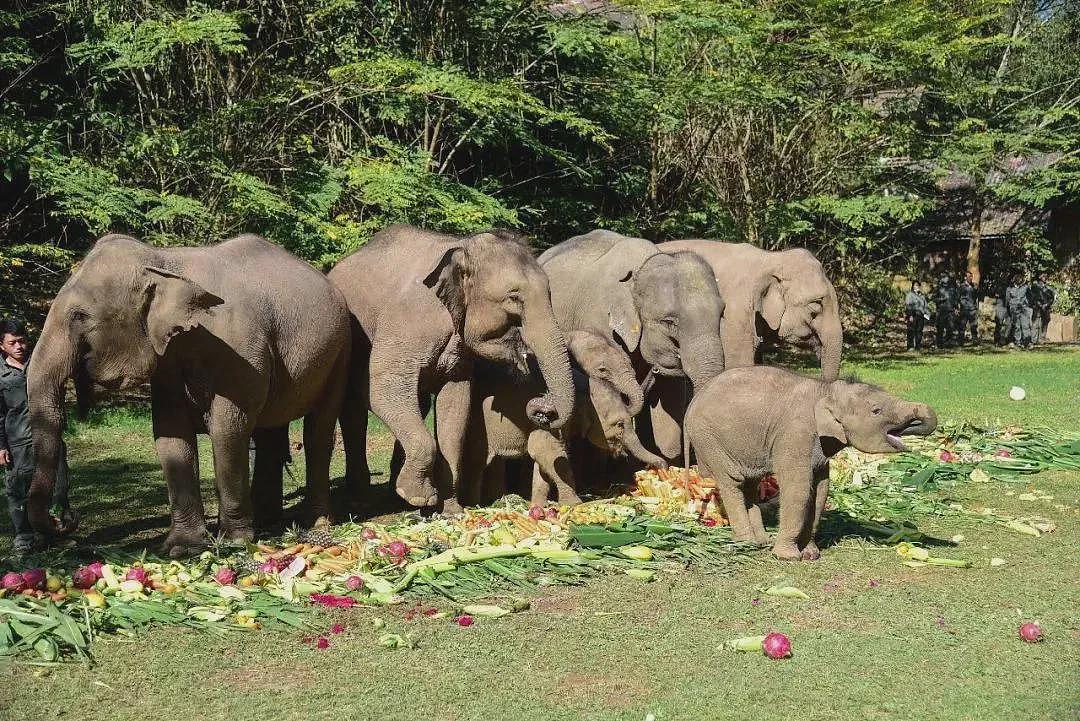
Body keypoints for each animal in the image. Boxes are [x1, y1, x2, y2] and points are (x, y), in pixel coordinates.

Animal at [26, 234, 349, 556]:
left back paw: (316, 524)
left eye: (79, 316)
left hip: (340, 351)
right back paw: (266, 520)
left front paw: (233, 541)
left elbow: (228, 430)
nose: (65, 521)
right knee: (270, 433)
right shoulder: (167, 362)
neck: (163, 261)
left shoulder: (241, 352)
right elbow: (171, 434)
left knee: (317, 432)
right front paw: (181, 548)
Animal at [328, 223, 578, 507]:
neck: (460, 247)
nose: (543, 409)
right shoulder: (405, 325)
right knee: (354, 411)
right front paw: (419, 498)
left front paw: (450, 509)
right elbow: (379, 388)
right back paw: (362, 500)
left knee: (418, 404)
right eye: (514, 298)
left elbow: (456, 404)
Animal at [449, 330, 665, 507]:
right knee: (478, 460)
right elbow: (546, 449)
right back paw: (476, 505)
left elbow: (543, 457)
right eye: (619, 424)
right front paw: (575, 504)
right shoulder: (553, 417)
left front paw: (538, 506)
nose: (661, 466)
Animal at [691, 369, 937, 561]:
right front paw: (788, 557)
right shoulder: (795, 434)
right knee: (732, 483)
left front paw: (811, 554)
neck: (827, 390)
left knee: (749, 486)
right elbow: (798, 489)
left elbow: (821, 490)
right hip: (710, 441)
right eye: (876, 411)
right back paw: (747, 544)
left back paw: (761, 542)